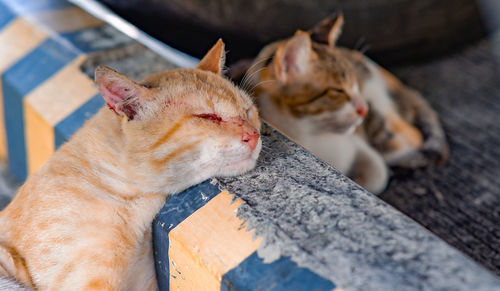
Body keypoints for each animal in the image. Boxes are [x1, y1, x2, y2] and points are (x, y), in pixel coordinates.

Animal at [240, 14, 448, 196]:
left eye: (355, 84)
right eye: (338, 90)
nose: (364, 109)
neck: (310, 135)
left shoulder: (357, 142)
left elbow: (378, 174)